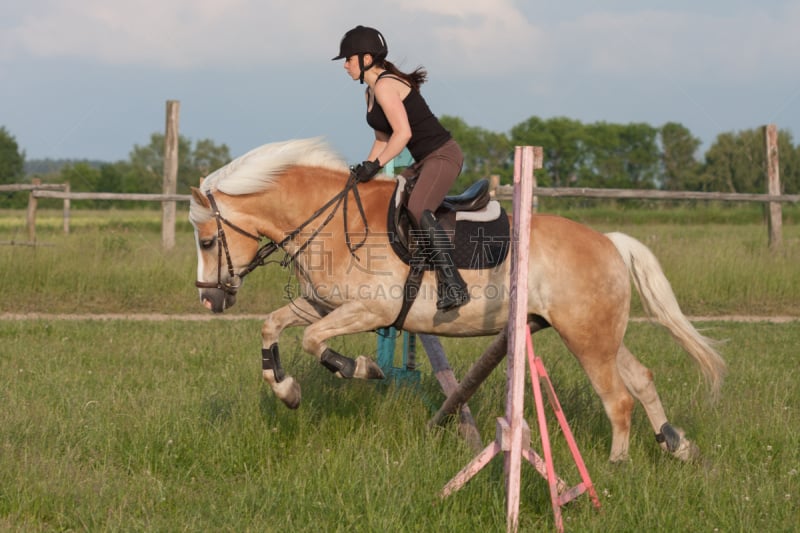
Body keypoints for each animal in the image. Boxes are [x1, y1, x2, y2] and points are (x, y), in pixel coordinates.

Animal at [191, 137, 728, 462]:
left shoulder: (370, 309)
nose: (211, 301)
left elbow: (313, 341)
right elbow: (273, 326)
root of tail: (610, 242)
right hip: (598, 334)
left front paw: (361, 368)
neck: (334, 221)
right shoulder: (323, 304)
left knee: (617, 398)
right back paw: (675, 446)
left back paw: (616, 469)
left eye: (207, 241)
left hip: (587, 338)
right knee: (641, 380)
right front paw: (288, 392)